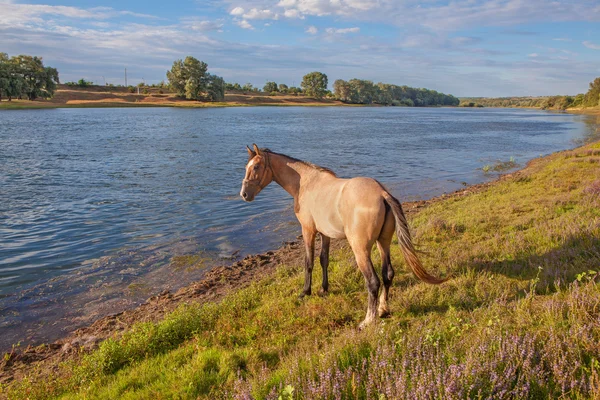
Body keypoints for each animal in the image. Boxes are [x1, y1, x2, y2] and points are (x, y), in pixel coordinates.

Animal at [240, 144, 446, 328]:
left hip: (360, 250)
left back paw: (367, 321)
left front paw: (305, 292)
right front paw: (324, 289)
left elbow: (309, 262)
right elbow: (324, 259)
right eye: (246, 167)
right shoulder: (325, 234)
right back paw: (383, 310)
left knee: (373, 282)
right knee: (387, 274)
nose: (244, 194)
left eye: (256, 167)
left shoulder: (308, 230)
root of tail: (382, 193)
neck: (306, 183)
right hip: (383, 243)